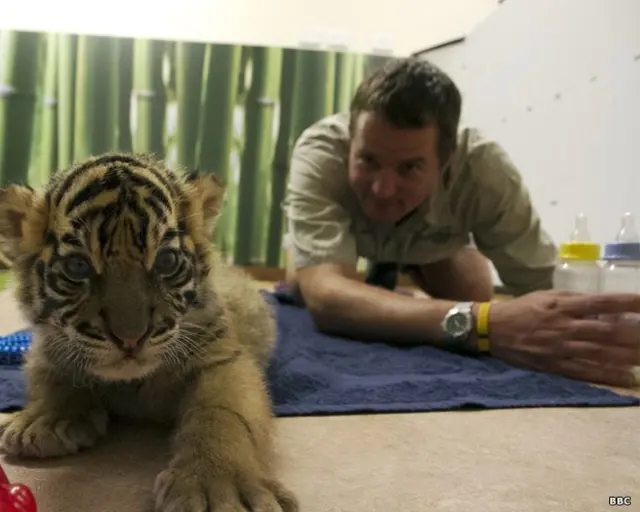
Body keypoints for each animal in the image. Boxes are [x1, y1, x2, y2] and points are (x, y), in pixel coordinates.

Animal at [0, 153, 299, 512]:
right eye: (78, 266)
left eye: (166, 261)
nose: (130, 339)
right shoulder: (46, 346)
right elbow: (51, 374)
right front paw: (44, 421)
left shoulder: (221, 355)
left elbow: (224, 413)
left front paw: (220, 487)